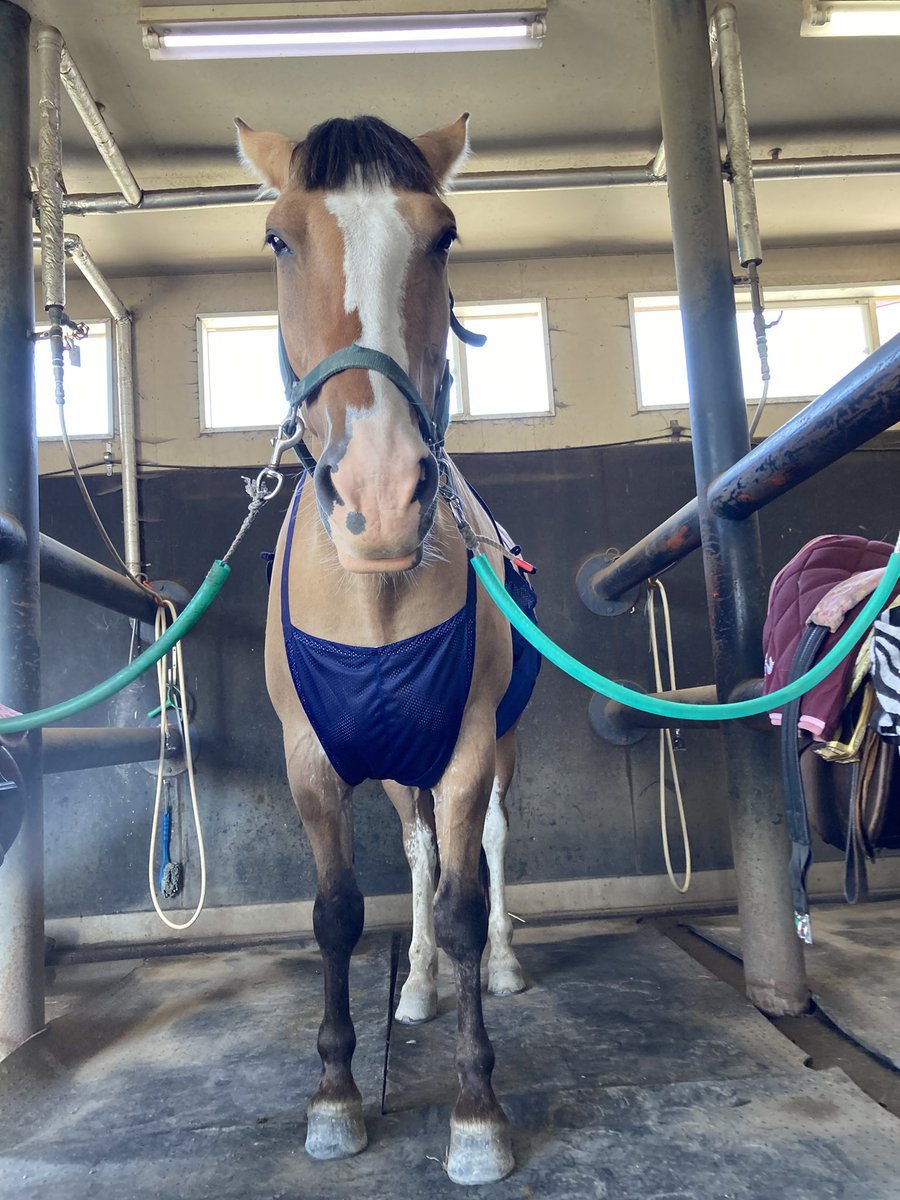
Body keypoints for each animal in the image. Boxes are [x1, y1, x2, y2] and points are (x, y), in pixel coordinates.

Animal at [236, 112, 539, 1185]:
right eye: (278, 240)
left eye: (443, 236)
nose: (377, 497)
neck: (374, 593)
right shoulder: (310, 759)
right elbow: (339, 912)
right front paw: (334, 1095)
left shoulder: (467, 746)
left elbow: (462, 901)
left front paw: (477, 1111)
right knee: (414, 852)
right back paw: (415, 988)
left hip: (491, 750)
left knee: (488, 849)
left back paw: (503, 964)